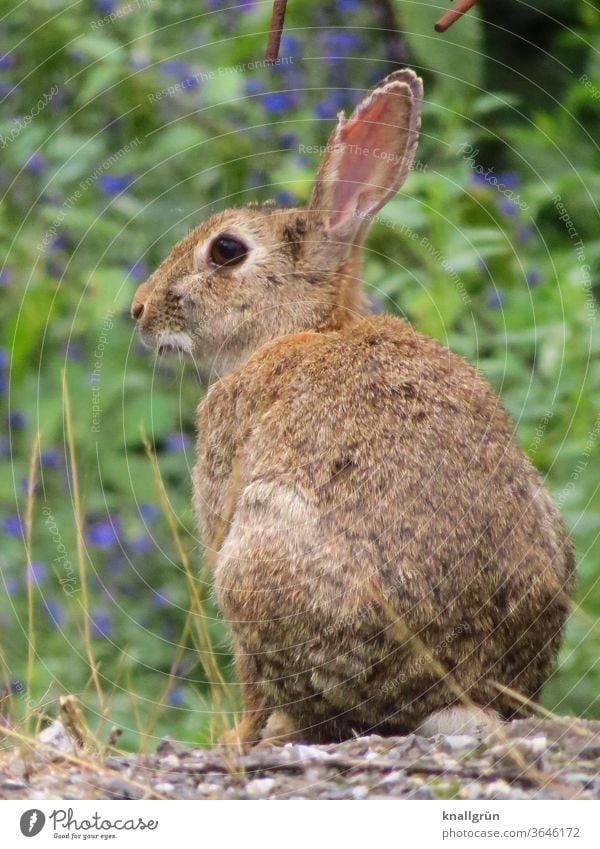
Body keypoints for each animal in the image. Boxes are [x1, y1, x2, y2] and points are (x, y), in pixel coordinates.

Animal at [134, 68, 576, 744]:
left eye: (227, 251)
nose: (138, 309)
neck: (307, 326)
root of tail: (455, 693)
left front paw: (235, 739)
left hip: (254, 565)